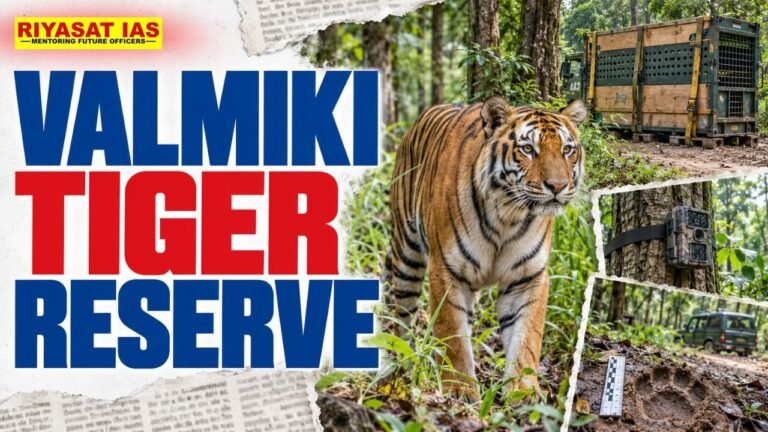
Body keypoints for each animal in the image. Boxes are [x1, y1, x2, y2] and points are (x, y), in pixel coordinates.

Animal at [385, 96, 587, 400]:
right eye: (528, 149)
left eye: (567, 150)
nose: (558, 186)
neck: (508, 216)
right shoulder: (446, 269)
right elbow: (453, 334)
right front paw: (460, 389)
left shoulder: (528, 277)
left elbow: (527, 337)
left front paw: (523, 391)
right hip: (406, 254)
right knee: (403, 315)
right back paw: (401, 361)